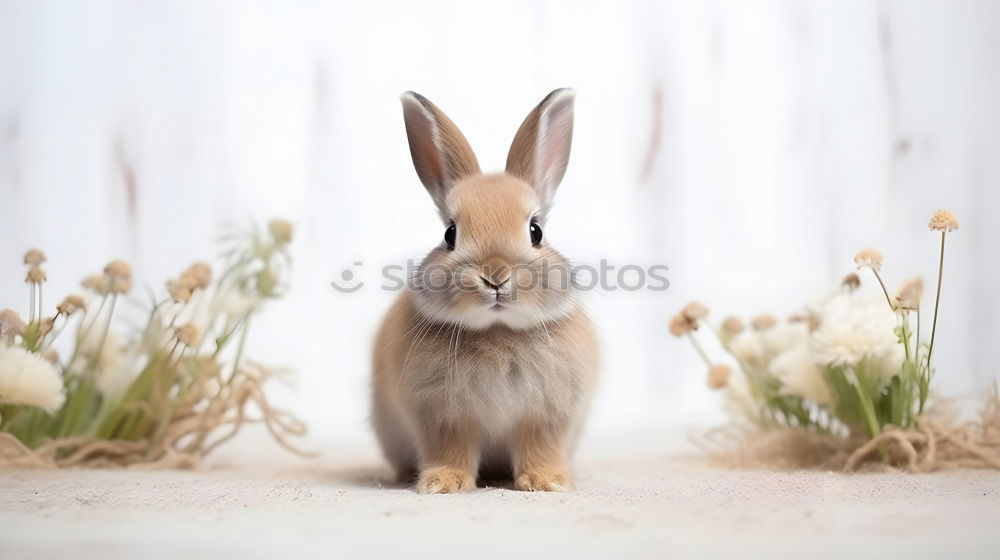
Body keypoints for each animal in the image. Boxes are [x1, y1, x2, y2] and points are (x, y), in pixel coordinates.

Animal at [372, 88, 596, 494]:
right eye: (450, 234)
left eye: (536, 231)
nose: (495, 276)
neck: (498, 331)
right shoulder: (443, 417)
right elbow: (450, 449)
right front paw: (442, 483)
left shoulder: (547, 417)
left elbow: (539, 447)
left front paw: (546, 482)